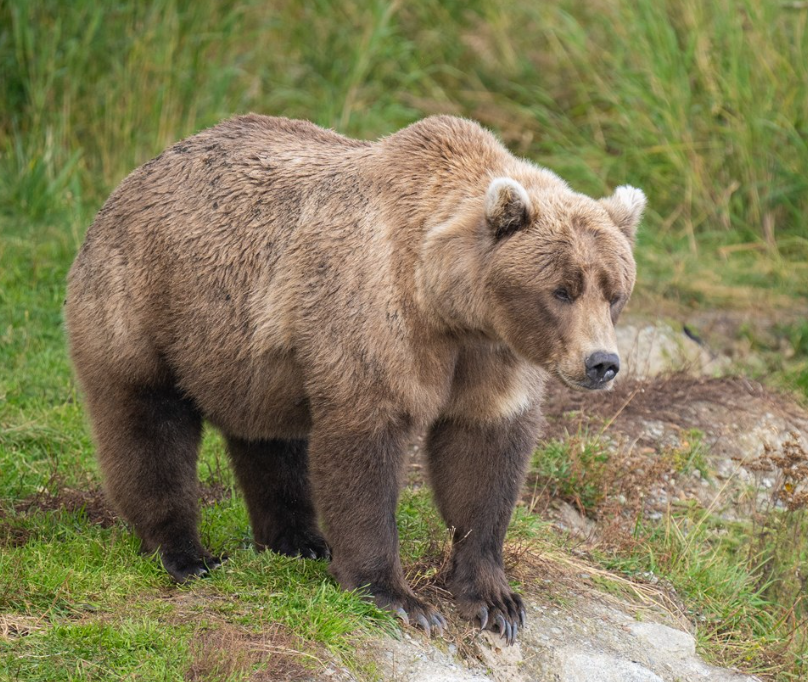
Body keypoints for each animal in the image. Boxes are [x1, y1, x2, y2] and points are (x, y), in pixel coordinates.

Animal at [65, 115, 644, 644]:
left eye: (614, 291)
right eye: (562, 289)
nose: (602, 363)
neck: (452, 306)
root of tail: (131, 179)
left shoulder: (490, 358)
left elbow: (483, 457)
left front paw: (495, 601)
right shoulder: (377, 313)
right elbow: (365, 450)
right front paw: (400, 598)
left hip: (248, 353)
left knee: (270, 436)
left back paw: (299, 539)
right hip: (146, 302)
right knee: (147, 423)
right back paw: (184, 553)